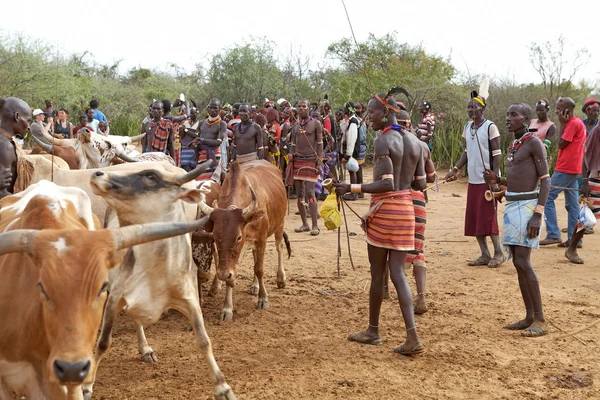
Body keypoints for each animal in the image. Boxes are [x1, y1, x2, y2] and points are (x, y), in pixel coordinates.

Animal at [85, 162, 236, 400]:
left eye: (151, 176)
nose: (99, 174)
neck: (154, 271)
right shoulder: (115, 297)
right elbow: (103, 343)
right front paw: (87, 386)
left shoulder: (189, 300)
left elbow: (204, 341)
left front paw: (223, 387)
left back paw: (145, 349)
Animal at [197, 161, 290, 320]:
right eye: (214, 236)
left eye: (238, 236)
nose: (222, 274)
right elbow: (232, 276)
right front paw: (227, 309)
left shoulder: (261, 240)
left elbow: (259, 269)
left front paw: (263, 299)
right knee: (254, 256)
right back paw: (254, 286)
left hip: (280, 223)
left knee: (279, 247)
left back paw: (280, 279)